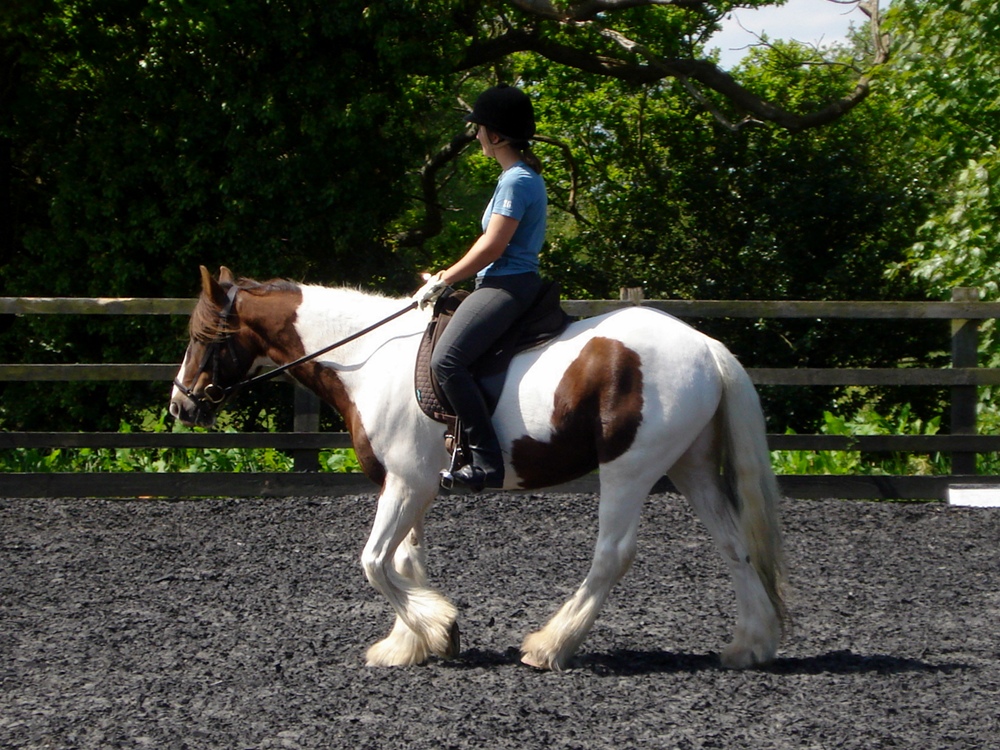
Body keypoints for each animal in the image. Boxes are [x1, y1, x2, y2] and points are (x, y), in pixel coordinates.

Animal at [170, 266, 788, 671]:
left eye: (201, 337)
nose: (181, 406)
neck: (367, 362)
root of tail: (705, 346)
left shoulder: (406, 484)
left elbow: (374, 562)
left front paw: (437, 630)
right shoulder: (411, 485)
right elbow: (403, 560)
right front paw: (411, 643)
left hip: (630, 469)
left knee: (612, 555)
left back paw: (550, 645)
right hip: (691, 466)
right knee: (734, 546)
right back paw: (750, 646)